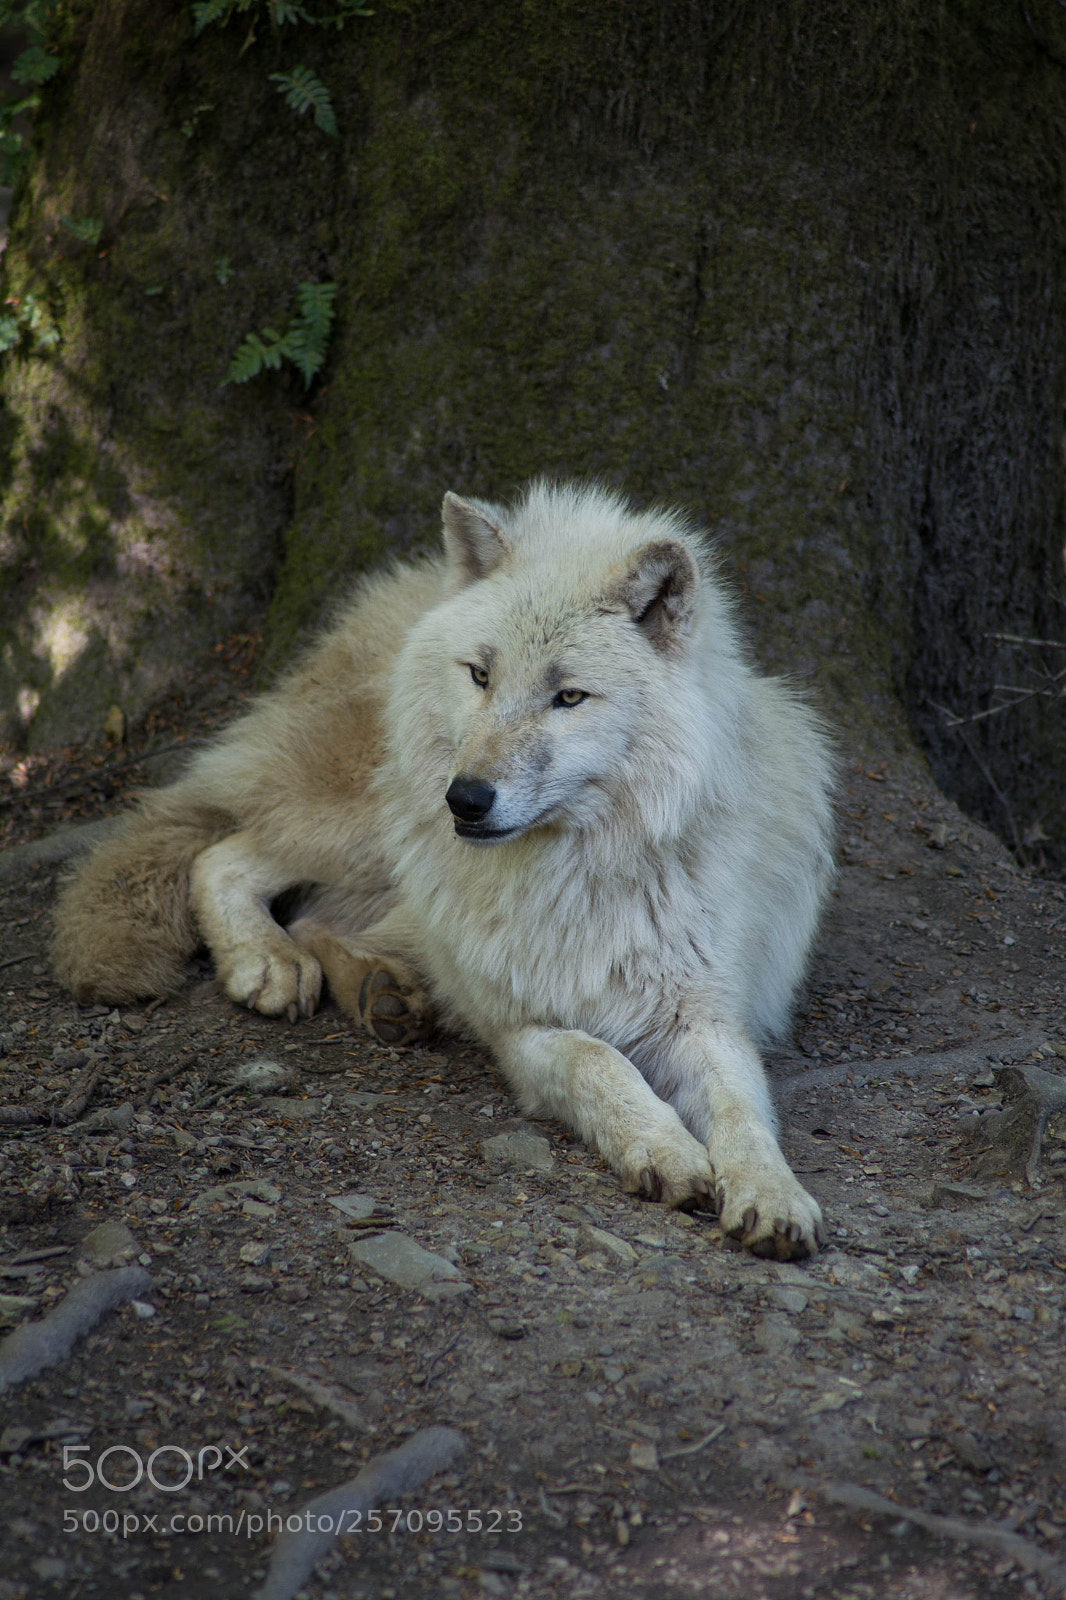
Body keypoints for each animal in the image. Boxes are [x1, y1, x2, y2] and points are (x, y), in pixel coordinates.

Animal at [53, 481, 836, 1259]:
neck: (574, 873)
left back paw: (382, 991)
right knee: (227, 855)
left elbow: (742, 1111)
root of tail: (402, 590)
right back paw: (270, 963)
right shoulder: (520, 1028)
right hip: (371, 821)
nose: (466, 798)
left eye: (569, 696)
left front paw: (771, 1195)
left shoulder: (706, 1016)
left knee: (317, 914)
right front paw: (664, 1149)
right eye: (481, 675)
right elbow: (600, 1062)